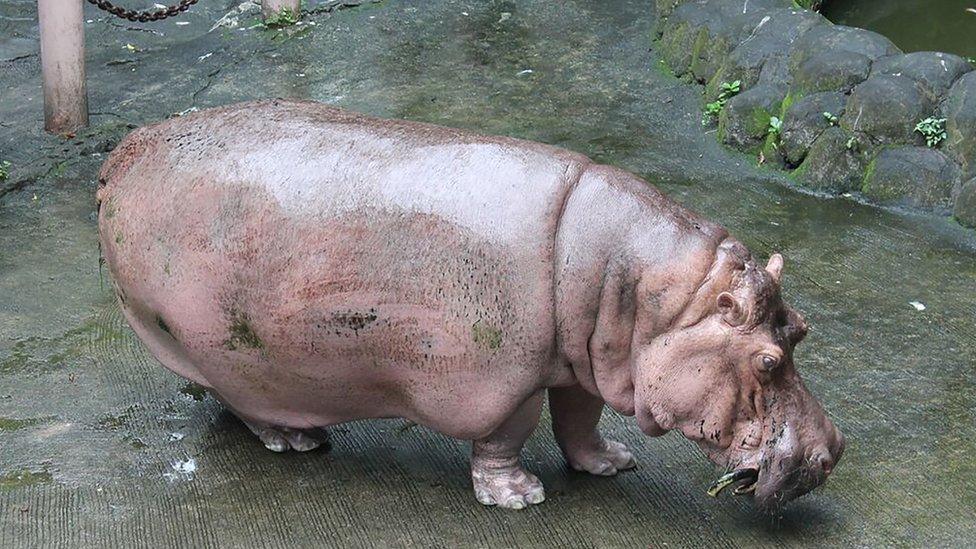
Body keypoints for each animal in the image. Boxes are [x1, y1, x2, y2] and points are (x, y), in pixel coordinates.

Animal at [101, 98, 848, 510]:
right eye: (768, 360)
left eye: (802, 327)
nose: (832, 450)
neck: (648, 297)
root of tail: (123, 152)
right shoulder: (503, 378)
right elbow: (509, 434)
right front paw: (520, 497)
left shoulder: (581, 363)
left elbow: (579, 418)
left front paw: (611, 463)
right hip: (219, 345)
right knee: (243, 399)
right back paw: (297, 440)